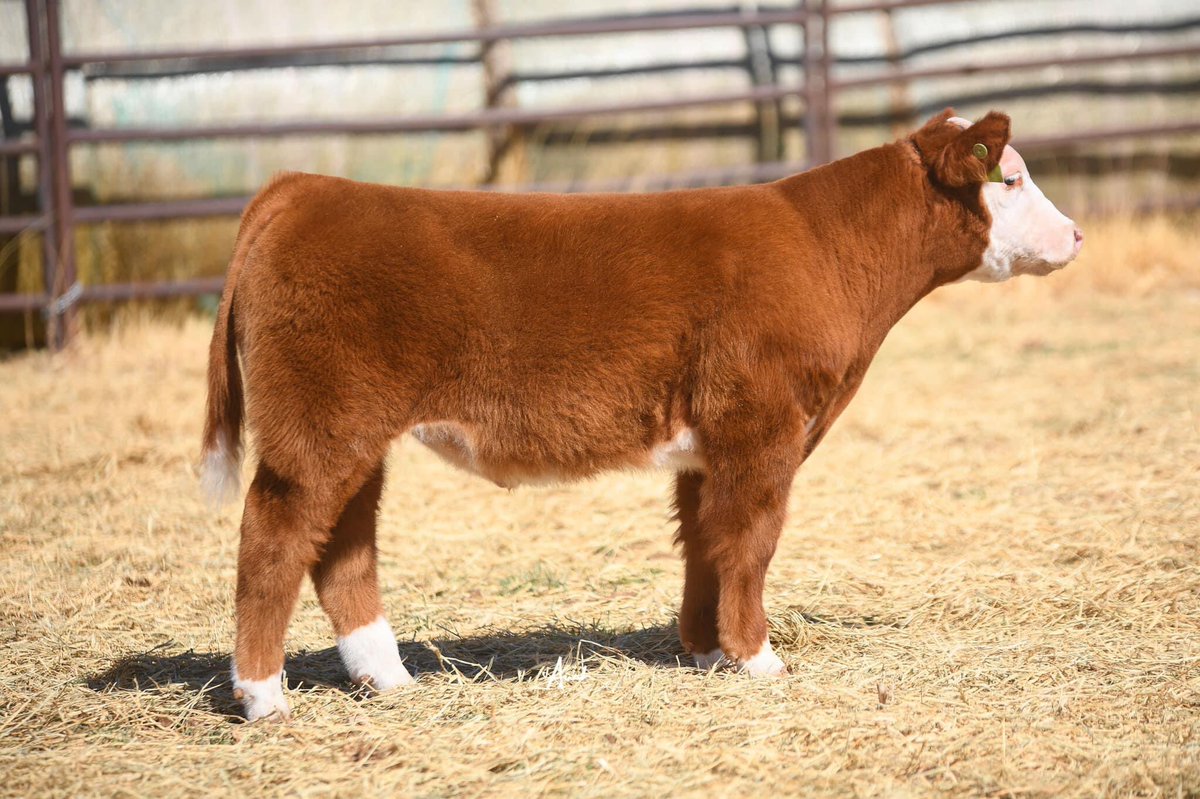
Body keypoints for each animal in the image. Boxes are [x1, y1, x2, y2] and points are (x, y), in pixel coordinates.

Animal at [201, 110, 1082, 721]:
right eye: (1010, 180)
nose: (1076, 233)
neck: (827, 250)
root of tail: (305, 187)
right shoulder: (763, 427)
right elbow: (752, 538)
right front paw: (758, 657)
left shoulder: (710, 446)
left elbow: (706, 541)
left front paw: (706, 650)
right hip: (320, 427)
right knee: (275, 537)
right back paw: (264, 696)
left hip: (356, 435)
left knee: (342, 548)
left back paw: (387, 677)